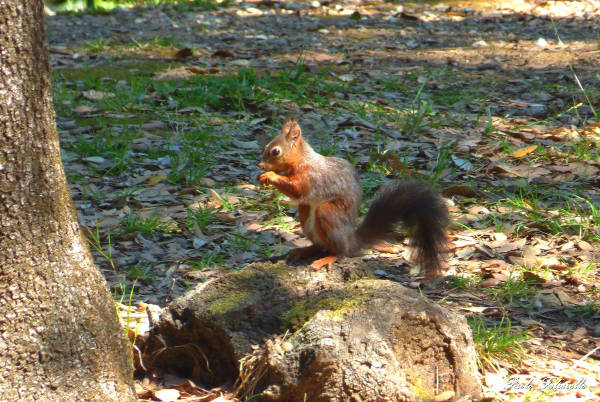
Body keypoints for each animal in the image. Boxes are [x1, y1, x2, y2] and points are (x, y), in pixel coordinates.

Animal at [255, 119, 448, 276]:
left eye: (276, 151)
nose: (260, 165)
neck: (302, 159)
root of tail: (351, 240)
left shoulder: (311, 176)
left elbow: (298, 189)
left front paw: (270, 175)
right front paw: (262, 177)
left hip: (328, 214)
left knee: (339, 252)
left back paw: (327, 258)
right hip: (305, 213)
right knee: (319, 245)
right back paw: (303, 251)